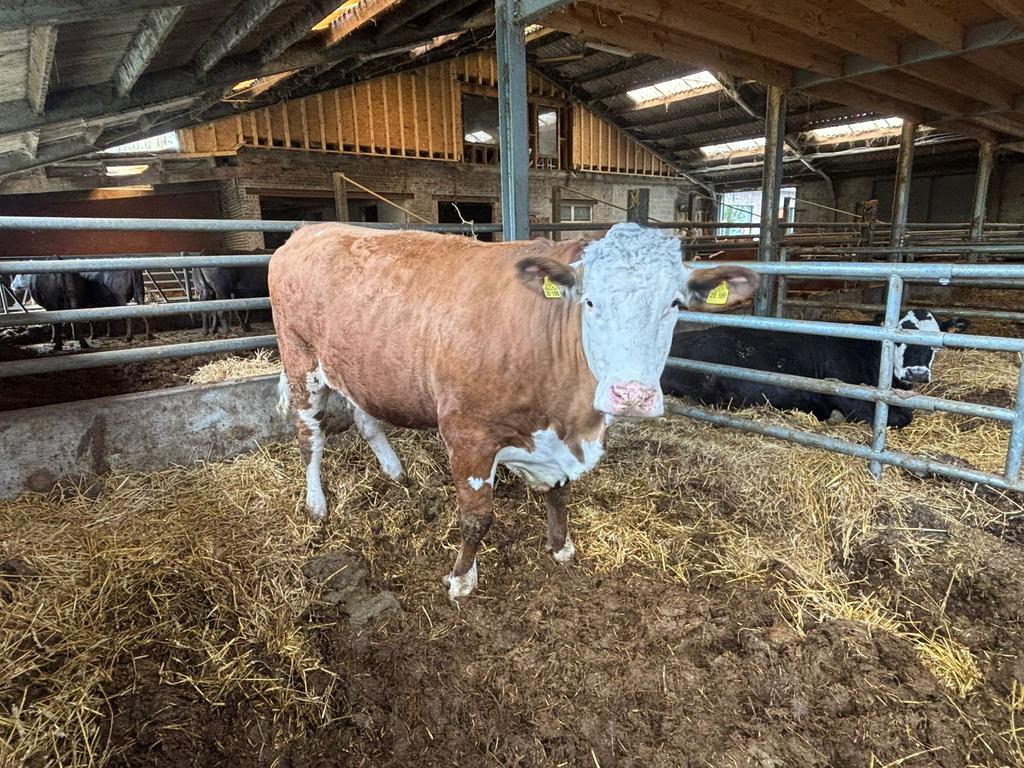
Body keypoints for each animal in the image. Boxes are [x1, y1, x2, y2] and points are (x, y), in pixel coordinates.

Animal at [270, 223, 758, 600]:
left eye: (674, 304)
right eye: (590, 302)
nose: (631, 394)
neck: (571, 417)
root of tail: (308, 231)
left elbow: (560, 493)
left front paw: (561, 547)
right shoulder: (467, 434)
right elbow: (476, 518)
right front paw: (461, 580)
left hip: (358, 369)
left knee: (366, 418)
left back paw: (395, 473)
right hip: (300, 361)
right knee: (309, 436)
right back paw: (316, 503)